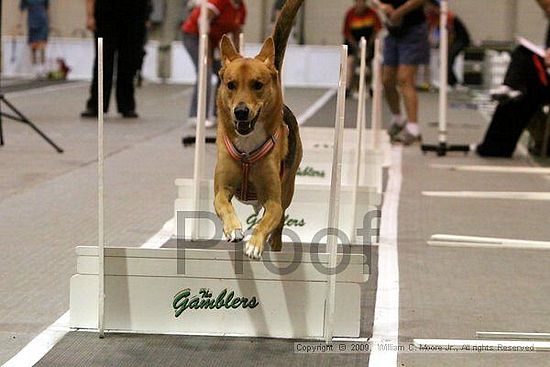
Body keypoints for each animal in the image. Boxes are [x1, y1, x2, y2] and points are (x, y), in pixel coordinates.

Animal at [215, 0, 304, 260]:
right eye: (231, 85)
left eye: (257, 85)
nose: (241, 112)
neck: (247, 150)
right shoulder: (221, 189)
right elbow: (224, 206)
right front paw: (233, 229)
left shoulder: (273, 200)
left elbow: (266, 222)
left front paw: (254, 244)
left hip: (288, 188)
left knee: (280, 222)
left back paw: (275, 245)